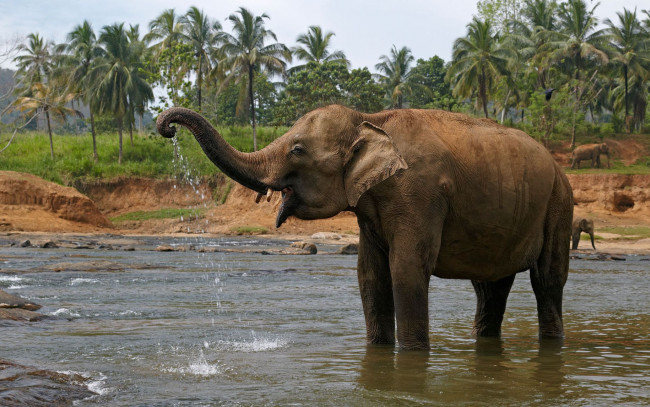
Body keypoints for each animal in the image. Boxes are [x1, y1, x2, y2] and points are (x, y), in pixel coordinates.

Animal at [157, 105, 574, 350]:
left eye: (297, 150)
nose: (166, 127)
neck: (369, 117)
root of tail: (558, 166)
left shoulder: (419, 193)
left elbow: (406, 270)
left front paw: (411, 357)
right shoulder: (371, 207)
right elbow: (370, 275)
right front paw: (378, 351)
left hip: (559, 204)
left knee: (546, 280)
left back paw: (553, 342)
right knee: (490, 287)